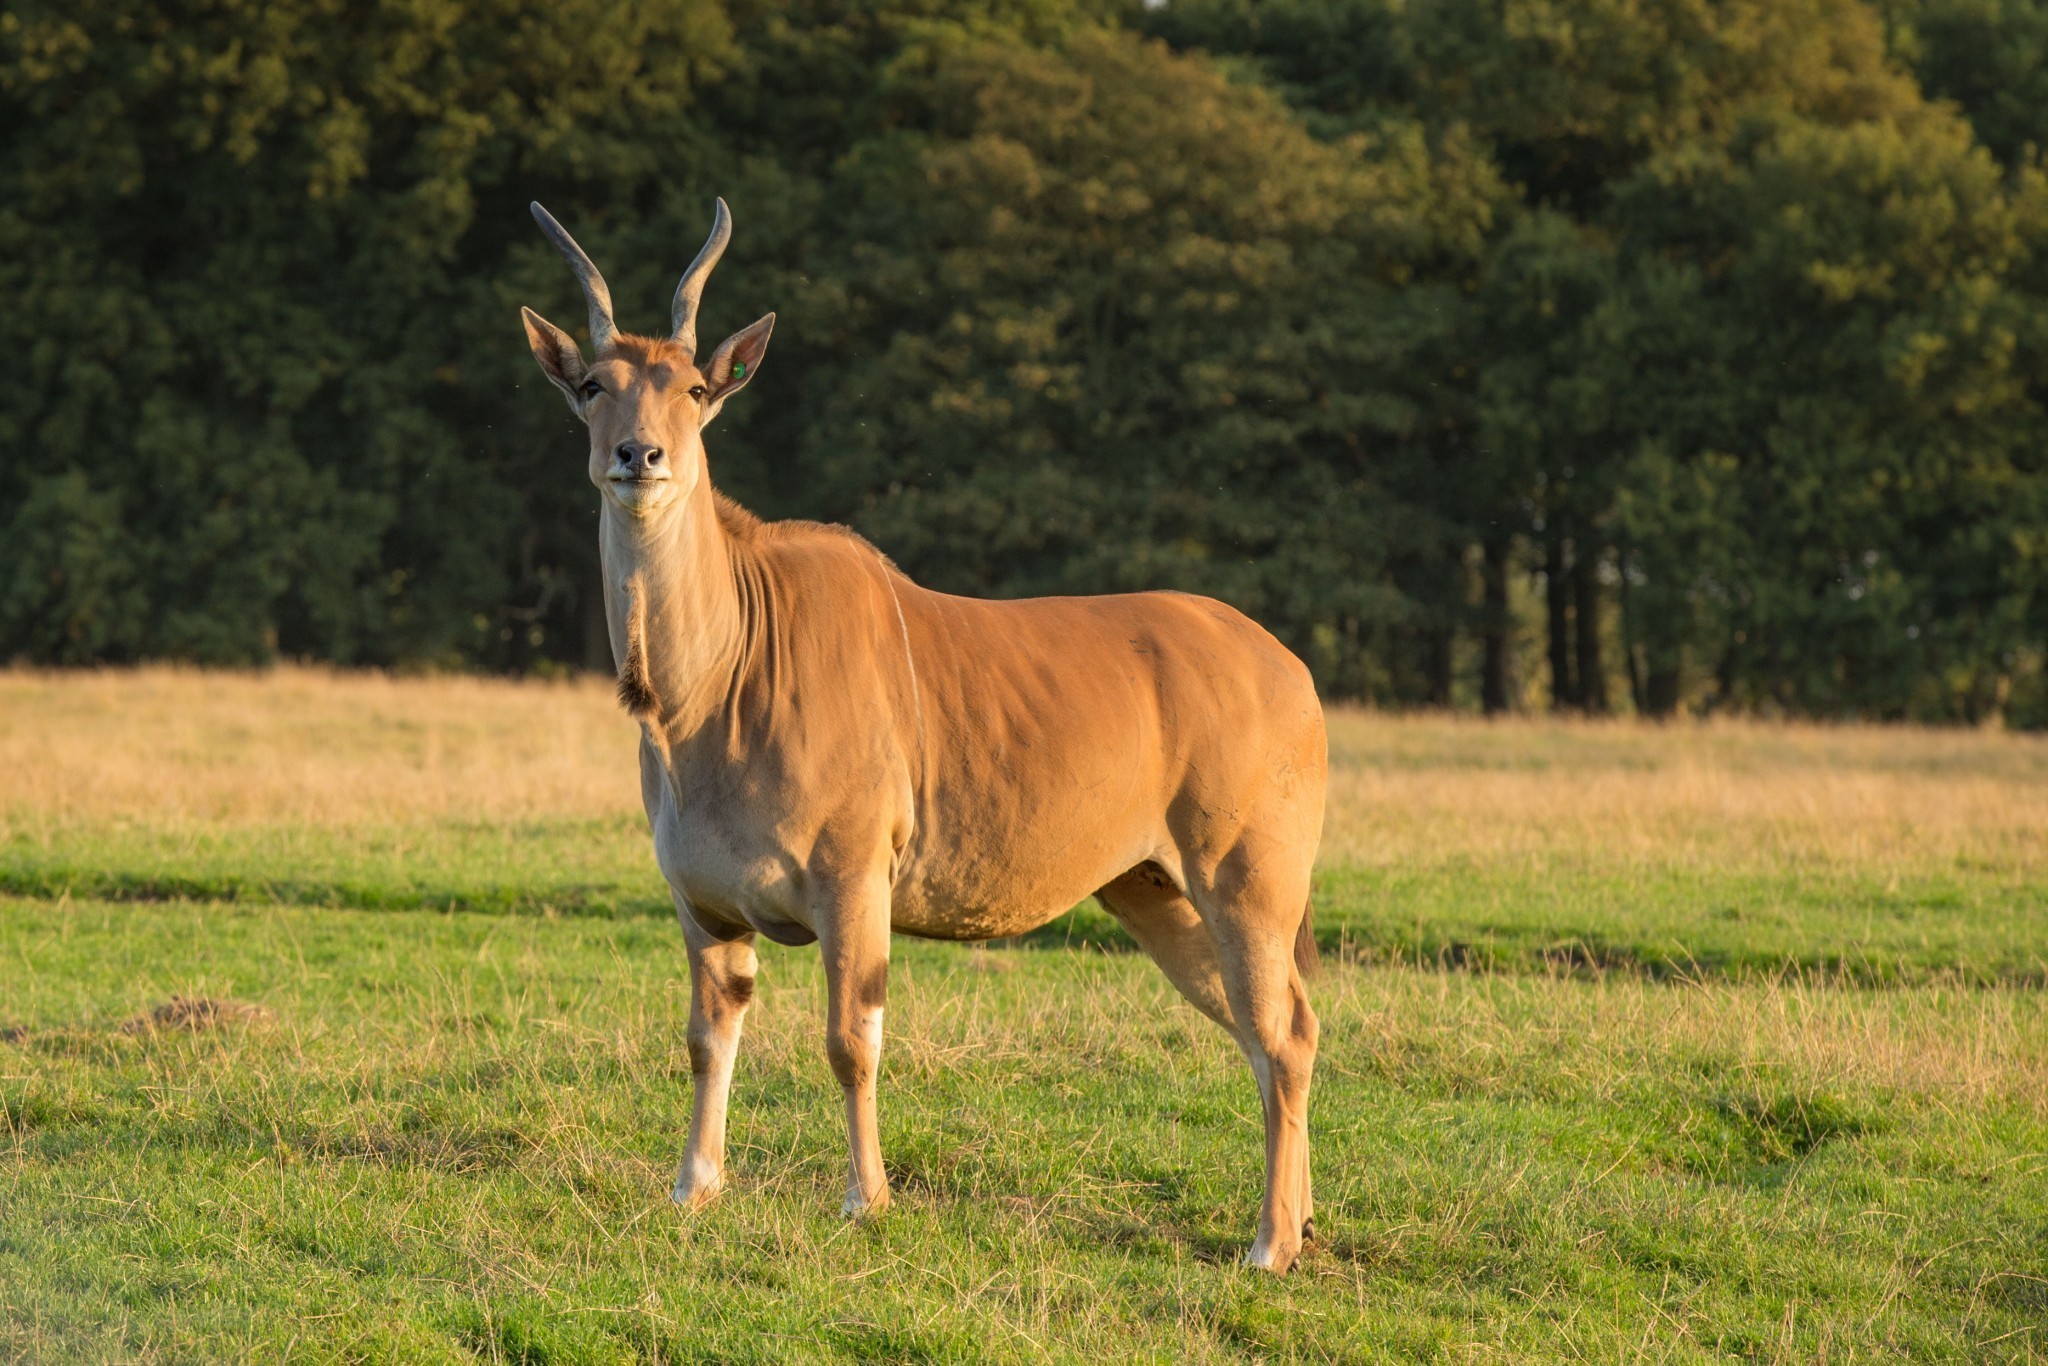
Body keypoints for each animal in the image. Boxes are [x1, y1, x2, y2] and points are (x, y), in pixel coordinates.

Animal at [520, 199, 1328, 1272]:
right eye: (592, 387)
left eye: (693, 389)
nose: (638, 457)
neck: (719, 685)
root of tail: (1294, 673)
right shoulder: (707, 909)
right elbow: (707, 1036)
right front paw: (694, 1187)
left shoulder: (854, 880)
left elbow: (850, 1039)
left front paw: (867, 1200)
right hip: (1152, 891)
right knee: (1273, 1029)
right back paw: (1300, 1222)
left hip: (1247, 881)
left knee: (1280, 1032)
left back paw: (1268, 1245)